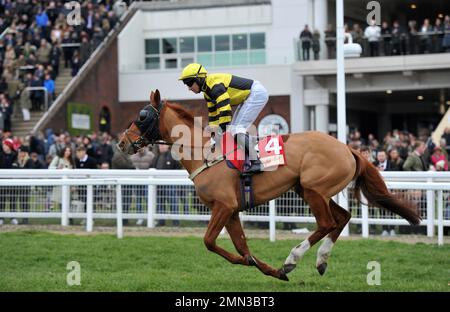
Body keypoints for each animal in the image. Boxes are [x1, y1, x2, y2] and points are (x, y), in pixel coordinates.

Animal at [117, 89, 422, 282]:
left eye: (142, 116)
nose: (121, 142)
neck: (205, 153)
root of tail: (348, 148)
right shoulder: (231, 210)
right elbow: (240, 247)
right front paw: (267, 269)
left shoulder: (224, 206)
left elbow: (210, 242)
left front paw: (269, 266)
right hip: (310, 190)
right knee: (342, 217)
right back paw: (320, 261)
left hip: (313, 189)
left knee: (327, 223)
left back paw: (293, 258)